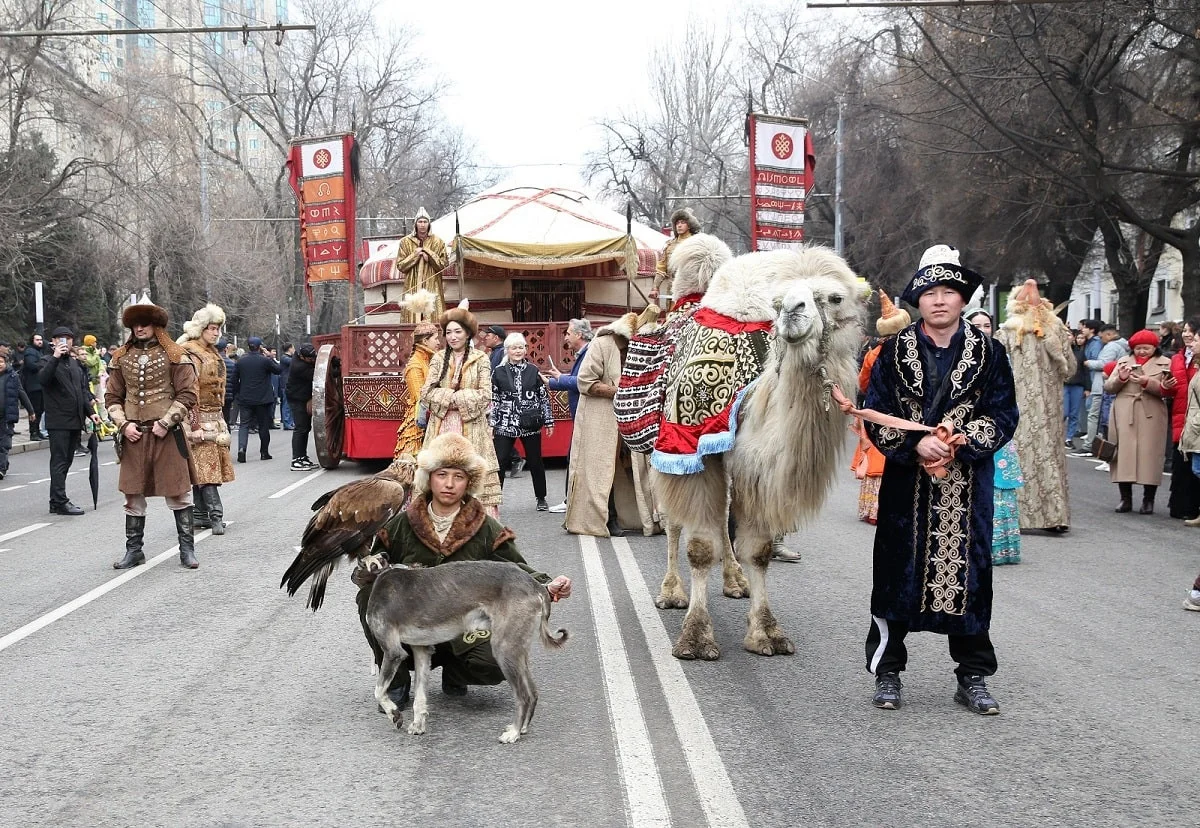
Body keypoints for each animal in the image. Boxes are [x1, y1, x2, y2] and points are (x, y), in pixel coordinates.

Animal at [362, 561, 568, 744]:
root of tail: (536, 585)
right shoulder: (422, 650)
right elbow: (420, 697)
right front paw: (418, 725)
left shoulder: (393, 652)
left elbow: (378, 691)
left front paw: (394, 714)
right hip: (518, 651)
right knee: (532, 692)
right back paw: (522, 728)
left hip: (504, 649)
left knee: (523, 696)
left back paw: (514, 733)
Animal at [652, 244, 868, 657]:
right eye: (778, 300)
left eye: (835, 298)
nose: (792, 311)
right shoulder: (691, 452)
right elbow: (699, 546)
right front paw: (695, 637)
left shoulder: (757, 471)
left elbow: (759, 550)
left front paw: (766, 631)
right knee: (672, 521)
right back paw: (671, 591)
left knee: (722, 517)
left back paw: (735, 580)